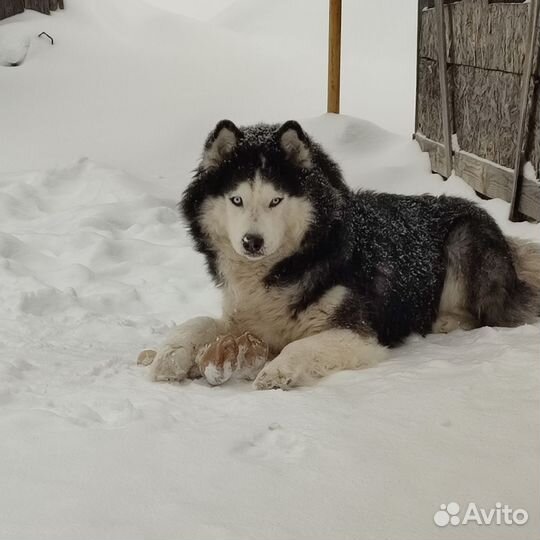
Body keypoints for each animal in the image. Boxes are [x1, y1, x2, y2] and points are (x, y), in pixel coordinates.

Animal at [148, 119, 540, 388]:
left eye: (276, 200)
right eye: (236, 199)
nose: (251, 242)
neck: (287, 266)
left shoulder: (358, 333)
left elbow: (301, 347)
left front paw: (278, 369)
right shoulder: (242, 316)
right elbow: (198, 322)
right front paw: (169, 356)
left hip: (464, 237)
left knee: (485, 313)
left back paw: (446, 321)